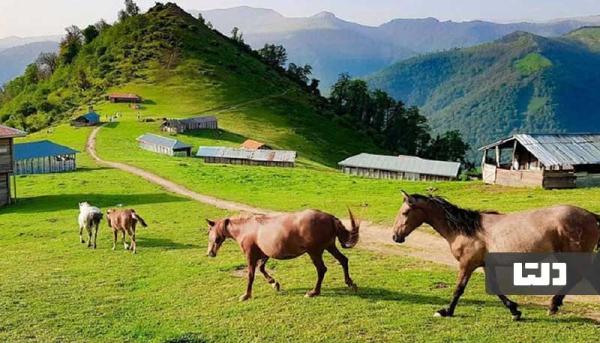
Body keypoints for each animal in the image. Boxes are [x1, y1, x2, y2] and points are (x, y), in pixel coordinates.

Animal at [206, 210, 358, 300]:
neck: (247, 228)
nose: (210, 253)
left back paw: (313, 292)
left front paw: (246, 295)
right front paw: (274, 283)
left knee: (322, 270)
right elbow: (262, 269)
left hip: (314, 252)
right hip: (330, 247)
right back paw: (350, 283)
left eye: (210, 233)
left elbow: (251, 275)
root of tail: (330, 218)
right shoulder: (265, 254)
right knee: (343, 260)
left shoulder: (251, 256)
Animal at [394, 192, 600, 322]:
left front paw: (445, 312)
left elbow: (459, 289)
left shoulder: (467, 264)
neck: (466, 230)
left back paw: (553, 306)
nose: (396, 236)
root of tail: (591, 215)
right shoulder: (485, 264)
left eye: (405, 212)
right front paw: (515, 310)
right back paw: (553, 306)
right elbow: (496, 289)